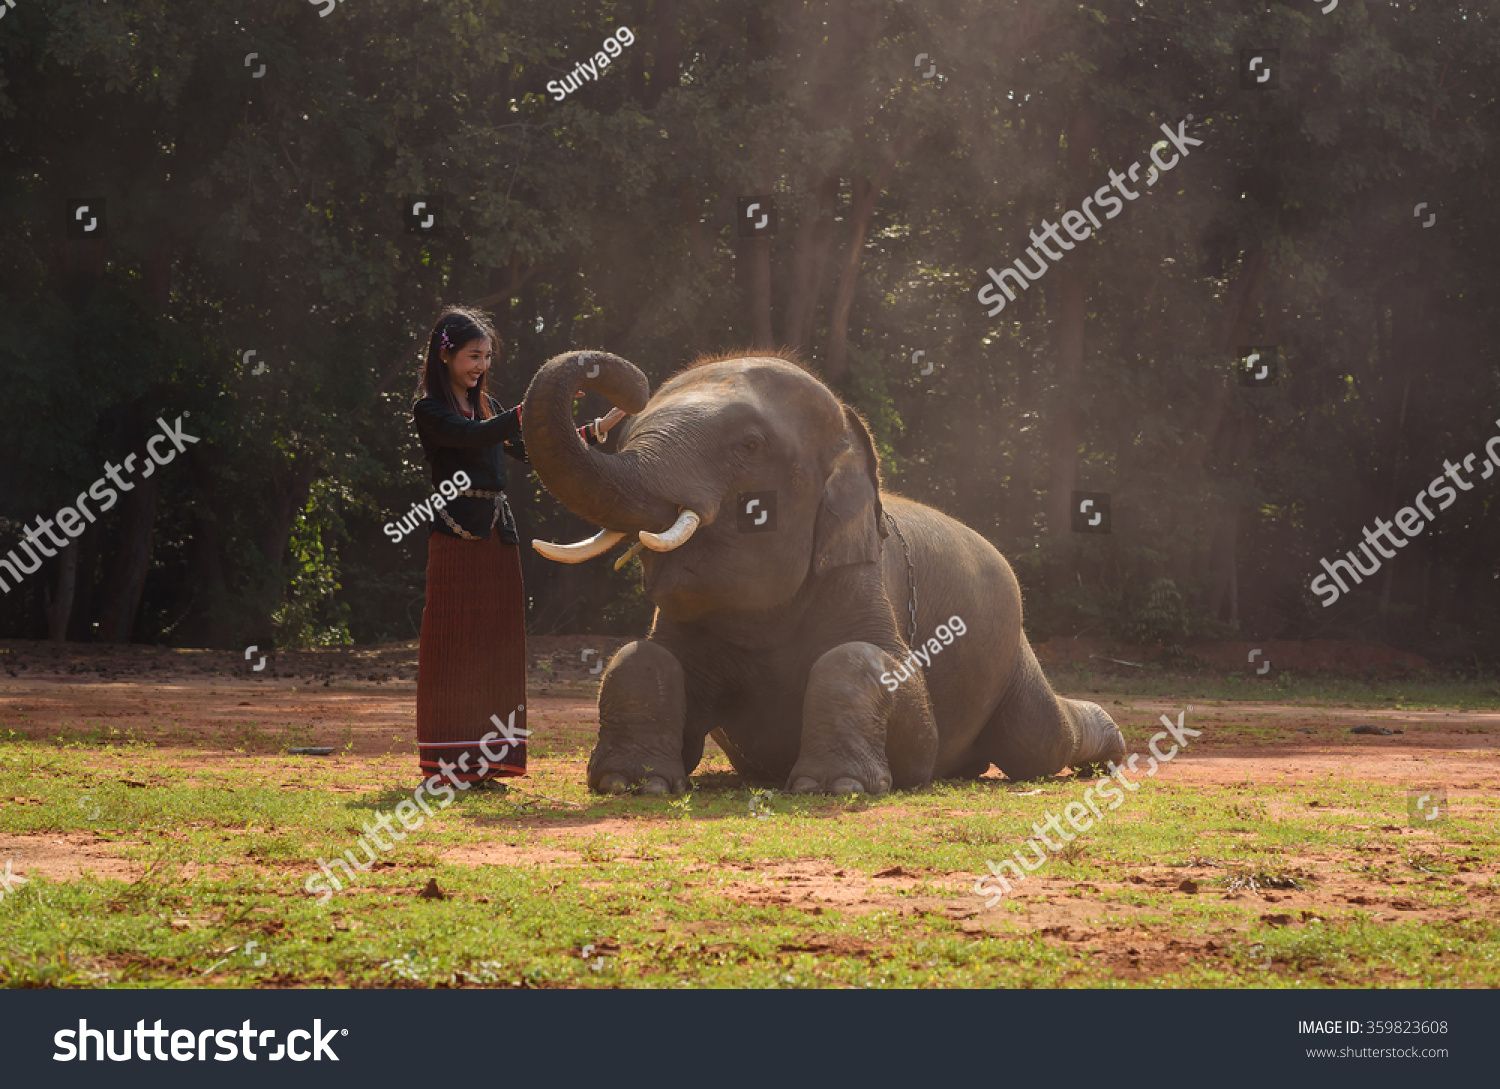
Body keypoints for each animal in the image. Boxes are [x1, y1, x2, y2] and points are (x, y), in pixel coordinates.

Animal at [521, 349, 1126, 795]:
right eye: (627, 435)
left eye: (750, 445)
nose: (608, 409)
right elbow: (641, 657)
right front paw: (629, 783)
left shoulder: (865, 578)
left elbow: (896, 701)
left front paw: (835, 787)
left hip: (1011, 653)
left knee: (1037, 743)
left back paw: (1114, 751)